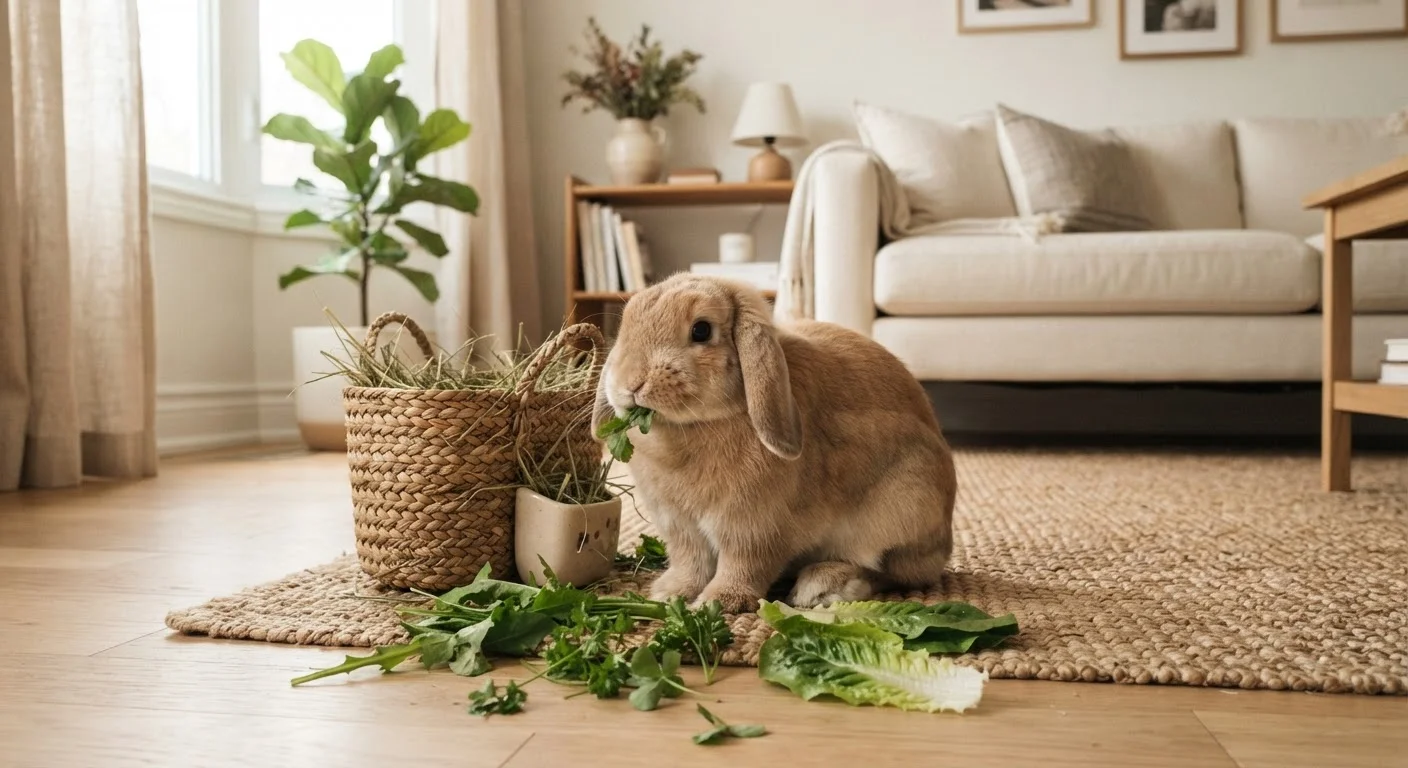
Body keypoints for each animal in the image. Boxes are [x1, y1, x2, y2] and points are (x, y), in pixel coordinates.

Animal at [592, 273, 956, 613]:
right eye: (626, 324)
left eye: (701, 330)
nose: (631, 384)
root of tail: (946, 542)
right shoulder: (682, 528)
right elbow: (690, 562)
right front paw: (670, 593)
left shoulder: (753, 527)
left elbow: (743, 564)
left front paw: (720, 602)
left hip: (905, 505)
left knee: (893, 571)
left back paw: (824, 586)